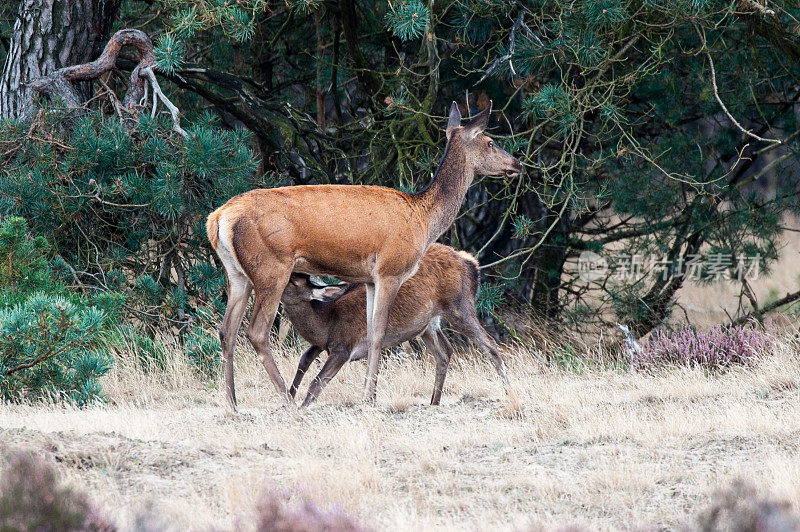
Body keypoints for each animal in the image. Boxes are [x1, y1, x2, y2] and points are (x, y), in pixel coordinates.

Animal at [278, 243, 510, 406]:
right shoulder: (322, 344)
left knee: (489, 343)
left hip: (459, 306)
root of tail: (471, 262)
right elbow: (304, 360)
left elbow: (317, 382)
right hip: (427, 323)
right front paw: (288, 398)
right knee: (445, 351)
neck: (327, 322)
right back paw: (434, 402)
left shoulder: (344, 346)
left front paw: (300, 408)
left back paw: (509, 391)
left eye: (293, 280)